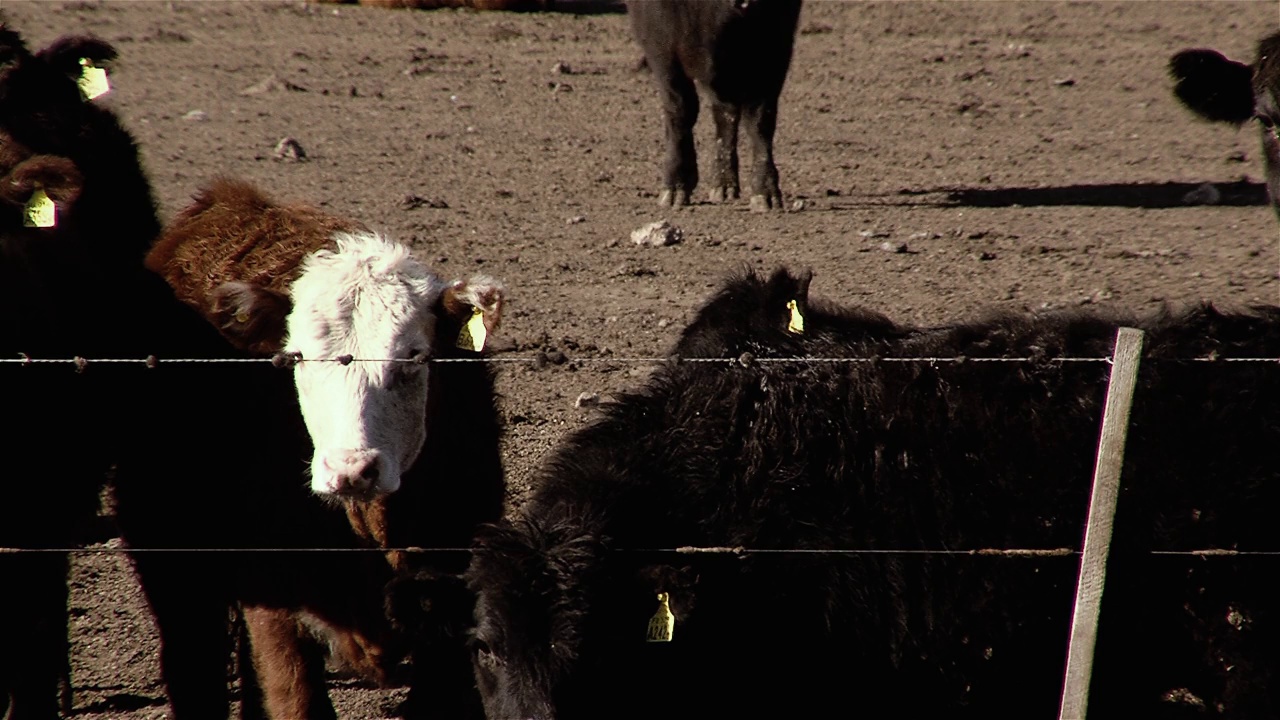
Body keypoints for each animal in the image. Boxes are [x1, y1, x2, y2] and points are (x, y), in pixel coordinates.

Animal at [627, 0, 803, 208]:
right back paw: (723, 186)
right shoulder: (661, 42)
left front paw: (766, 193)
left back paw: (724, 185)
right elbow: (680, 109)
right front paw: (675, 189)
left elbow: (760, 120)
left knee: (727, 114)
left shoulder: (776, 44)